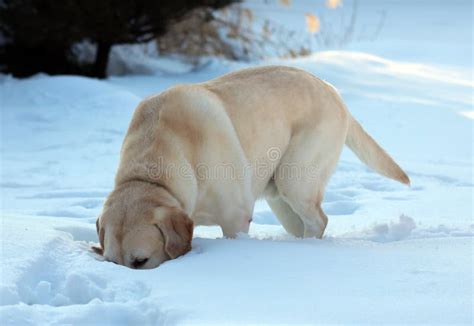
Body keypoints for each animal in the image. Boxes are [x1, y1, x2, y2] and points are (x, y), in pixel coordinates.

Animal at [92, 65, 408, 268]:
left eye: (141, 261)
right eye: (111, 262)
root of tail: (333, 91)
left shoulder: (235, 216)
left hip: (295, 178)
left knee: (319, 220)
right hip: (281, 199)